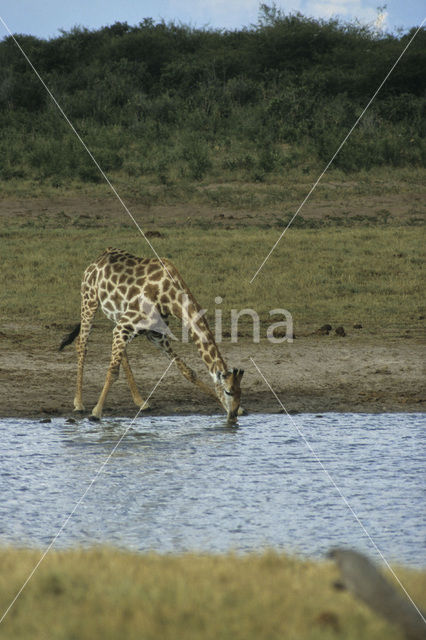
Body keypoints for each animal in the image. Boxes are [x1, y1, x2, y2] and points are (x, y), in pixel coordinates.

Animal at [60, 248, 246, 422]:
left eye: (240, 392)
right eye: (228, 392)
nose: (232, 417)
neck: (169, 297)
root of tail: (99, 257)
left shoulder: (155, 334)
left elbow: (187, 371)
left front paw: (239, 410)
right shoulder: (127, 326)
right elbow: (113, 371)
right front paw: (96, 412)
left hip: (118, 317)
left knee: (121, 354)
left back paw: (141, 402)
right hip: (89, 300)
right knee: (82, 343)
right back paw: (79, 403)